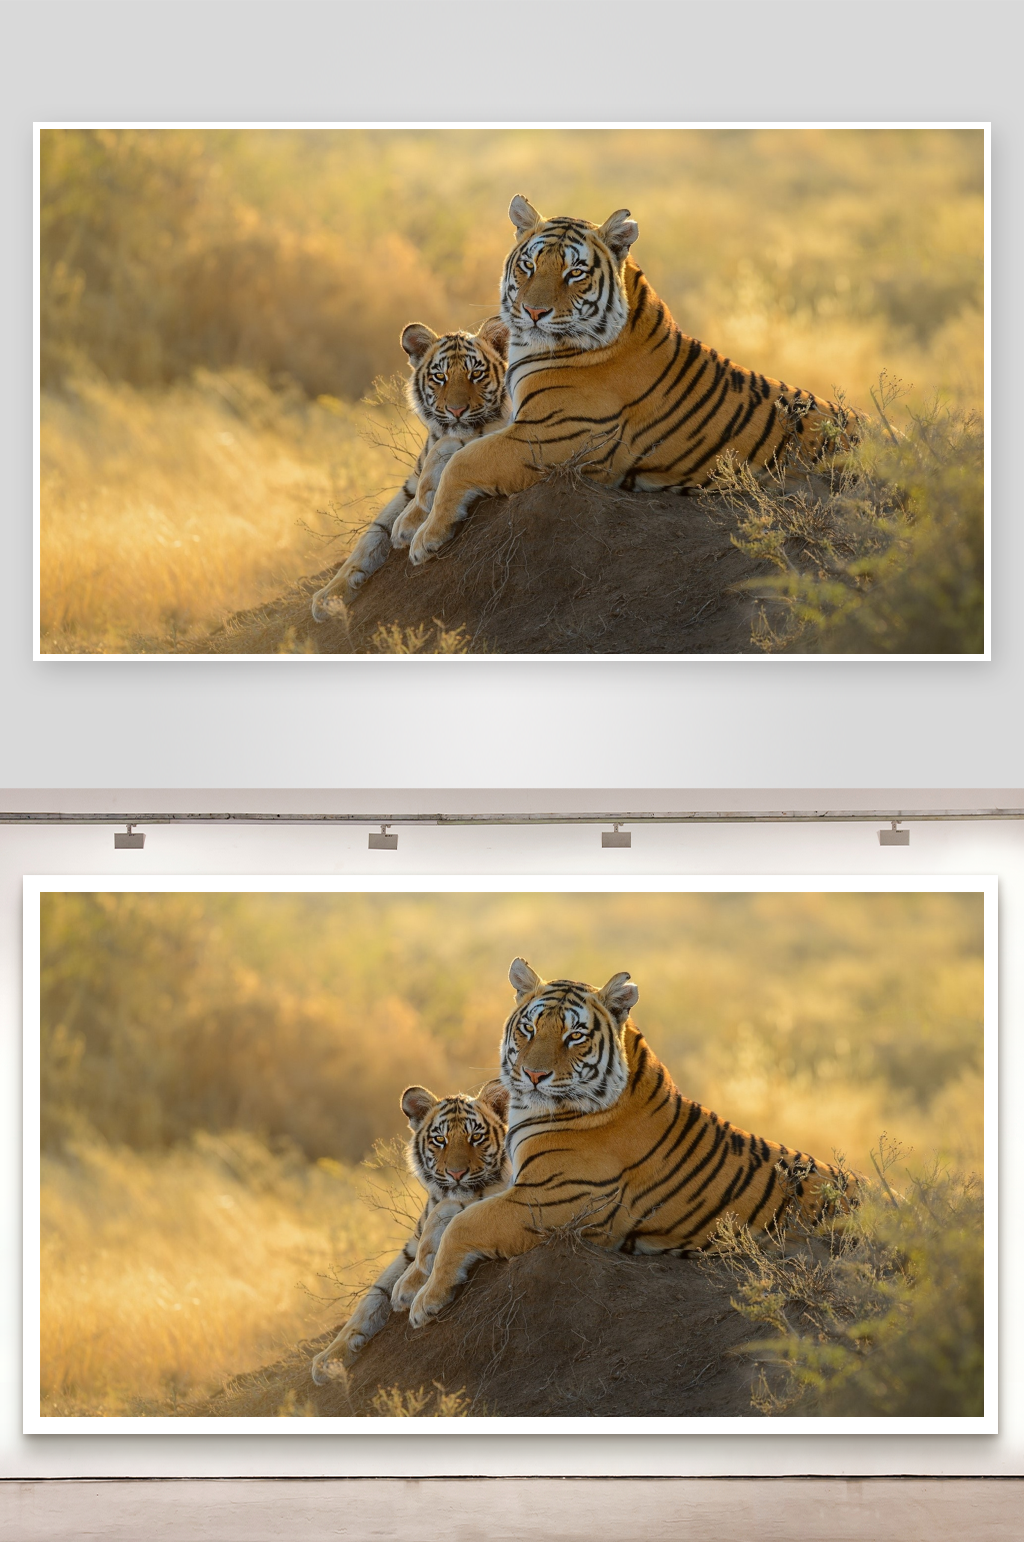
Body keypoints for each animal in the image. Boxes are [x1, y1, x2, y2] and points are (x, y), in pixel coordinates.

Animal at [310, 316, 510, 618]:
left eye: (476, 374)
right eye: (440, 377)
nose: (456, 411)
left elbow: (444, 455)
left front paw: (409, 522)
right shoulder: (408, 486)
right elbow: (371, 535)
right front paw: (329, 594)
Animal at [310, 1078, 509, 1382]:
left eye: (476, 1137)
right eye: (440, 1140)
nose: (456, 1174)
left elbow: (446, 1217)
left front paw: (409, 1284)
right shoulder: (408, 1249)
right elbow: (371, 1298)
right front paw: (329, 1358)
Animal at [405, 195, 858, 566]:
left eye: (575, 273)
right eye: (529, 265)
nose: (533, 312)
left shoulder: (550, 436)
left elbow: (464, 461)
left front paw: (426, 539)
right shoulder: (510, 420)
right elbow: (446, 450)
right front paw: (409, 520)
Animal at [405, 959, 858, 1330]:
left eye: (575, 1036)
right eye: (528, 1028)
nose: (533, 1075)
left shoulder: (551, 1199)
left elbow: (465, 1224)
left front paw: (426, 1302)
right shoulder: (512, 1184)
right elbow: (447, 1211)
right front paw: (409, 1284)